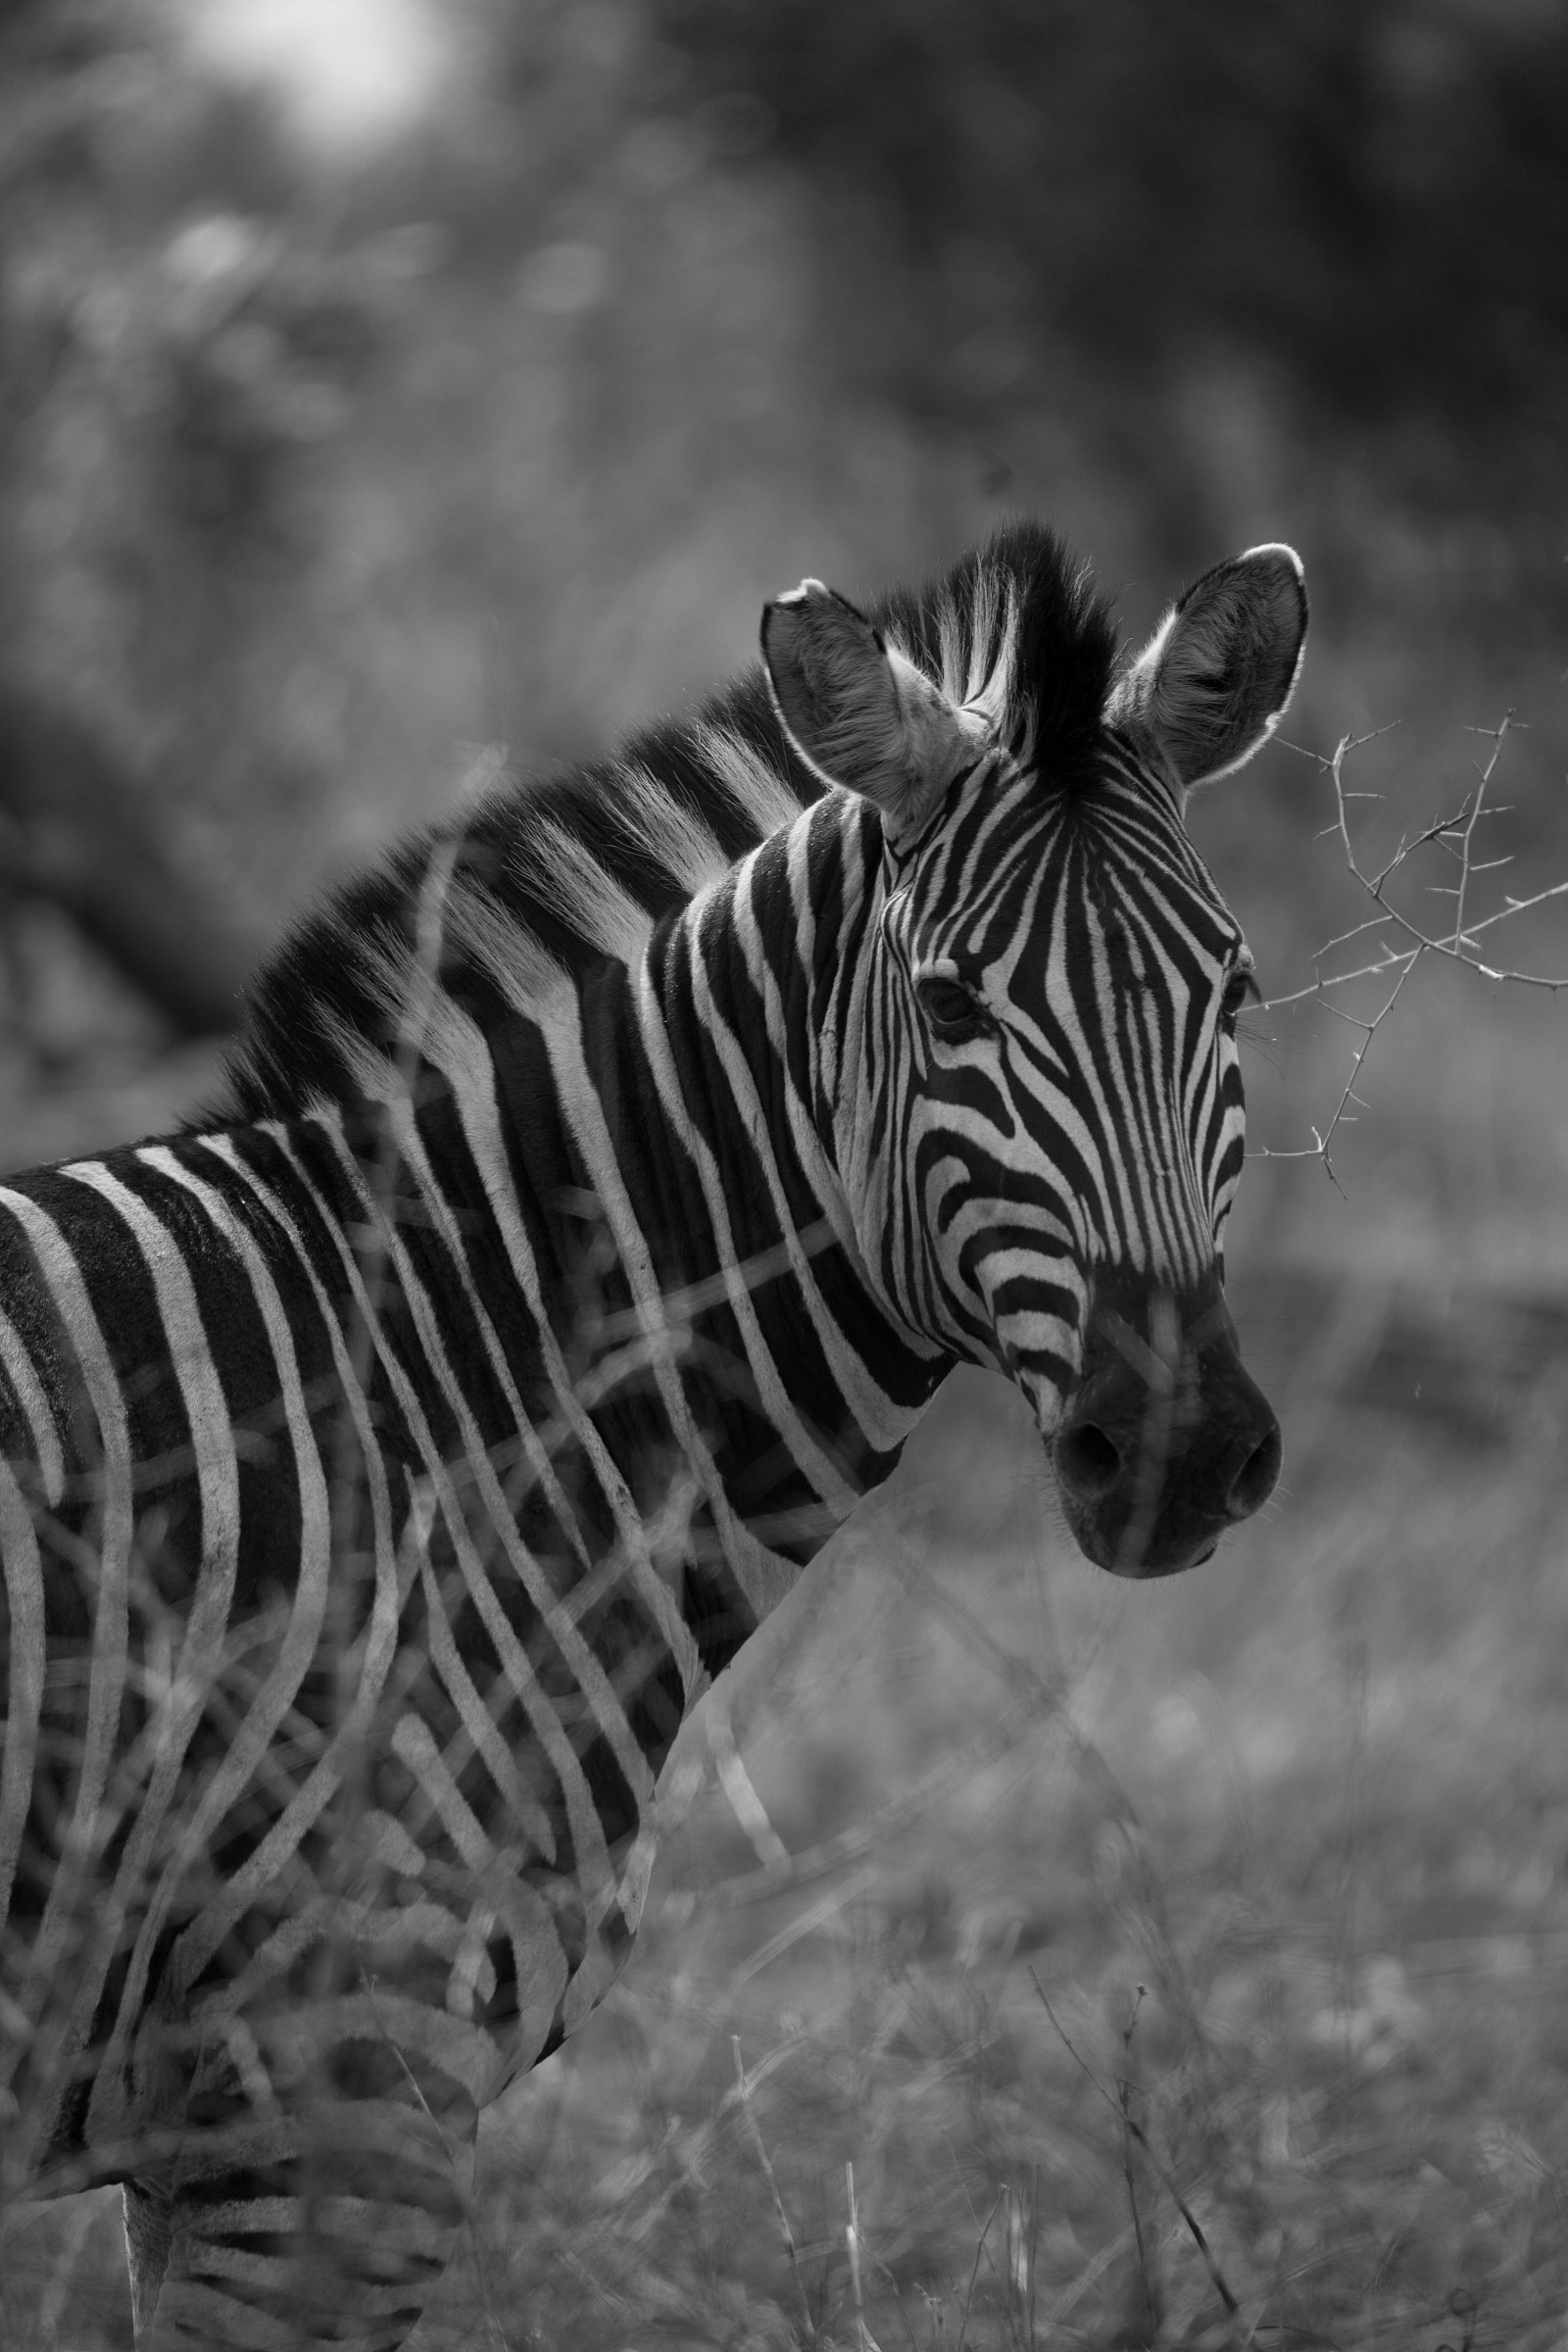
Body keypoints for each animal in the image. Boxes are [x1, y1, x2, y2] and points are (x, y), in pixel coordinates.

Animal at [0, 520, 1306, 2348]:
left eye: (1234, 994)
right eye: (952, 1012)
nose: (1183, 1450)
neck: (449, 1394)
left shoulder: (218, 2143)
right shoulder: (330, 2113)